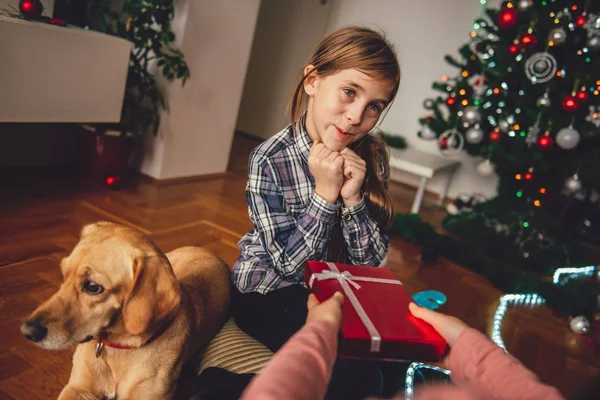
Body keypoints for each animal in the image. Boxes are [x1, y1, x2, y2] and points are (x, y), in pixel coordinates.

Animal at [19, 222, 231, 400]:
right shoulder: (77, 388)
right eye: (63, 274)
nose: (27, 332)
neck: (117, 349)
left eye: (93, 287)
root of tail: (210, 253)